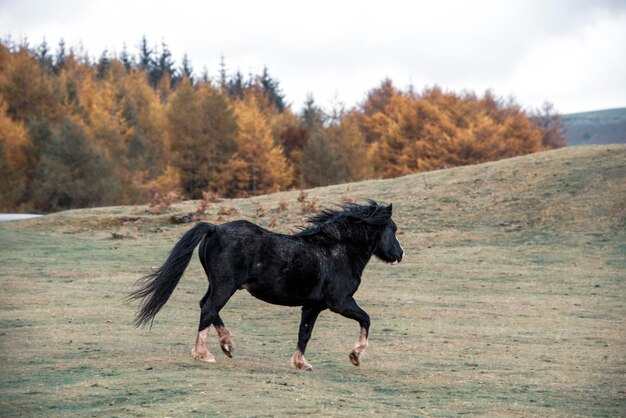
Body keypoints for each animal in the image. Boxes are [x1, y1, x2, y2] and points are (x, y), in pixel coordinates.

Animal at [129, 201, 404, 370]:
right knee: (208, 309)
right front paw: (355, 355)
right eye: (393, 229)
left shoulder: (312, 306)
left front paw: (301, 363)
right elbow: (366, 319)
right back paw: (203, 354)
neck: (337, 251)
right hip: (225, 285)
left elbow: (304, 333)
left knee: (206, 307)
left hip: (217, 285)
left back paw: (227, 345)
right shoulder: (341, 302)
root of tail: (215, 228)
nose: (399, 254)